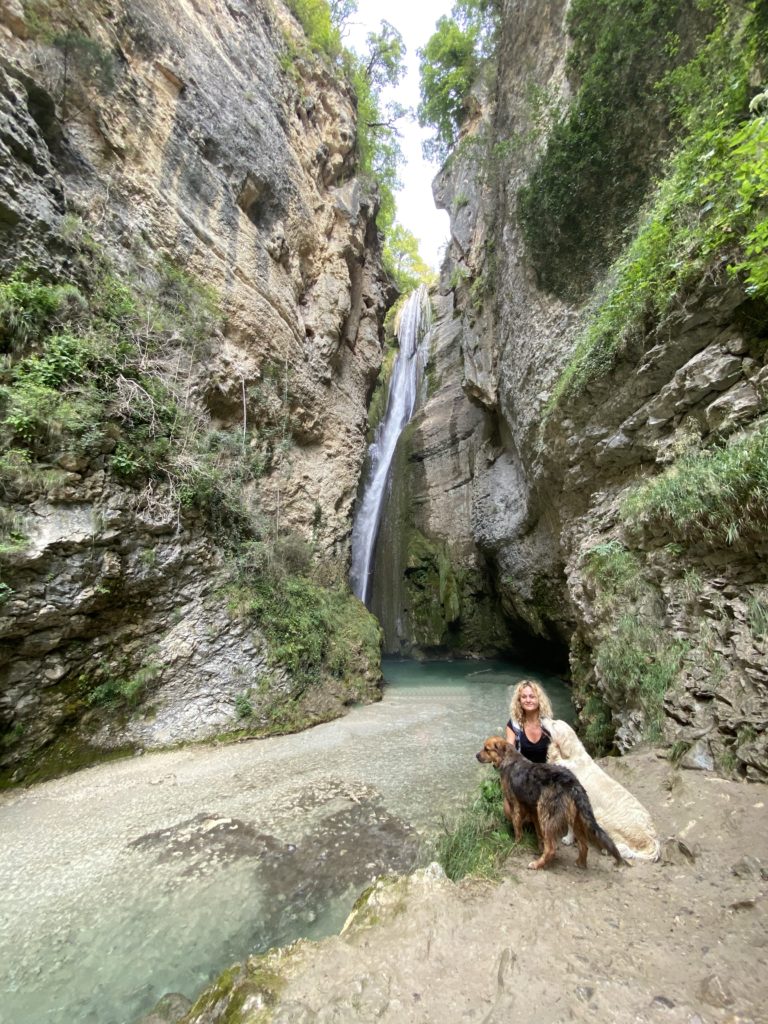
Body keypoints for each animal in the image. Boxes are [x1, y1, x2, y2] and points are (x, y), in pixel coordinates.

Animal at [475, 737, 626, 872]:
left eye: (486, 749)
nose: (476, 755)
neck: (509, 759)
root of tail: (572, 784)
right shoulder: (533, 809)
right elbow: (539, 834)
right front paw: (539, 846)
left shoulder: (515, 804)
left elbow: (518, 829)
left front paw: (516, 844)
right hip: (575, 818)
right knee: (584, 844)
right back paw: (580, 863)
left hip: (547, 815)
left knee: (552, 848)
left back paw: (537, 864)